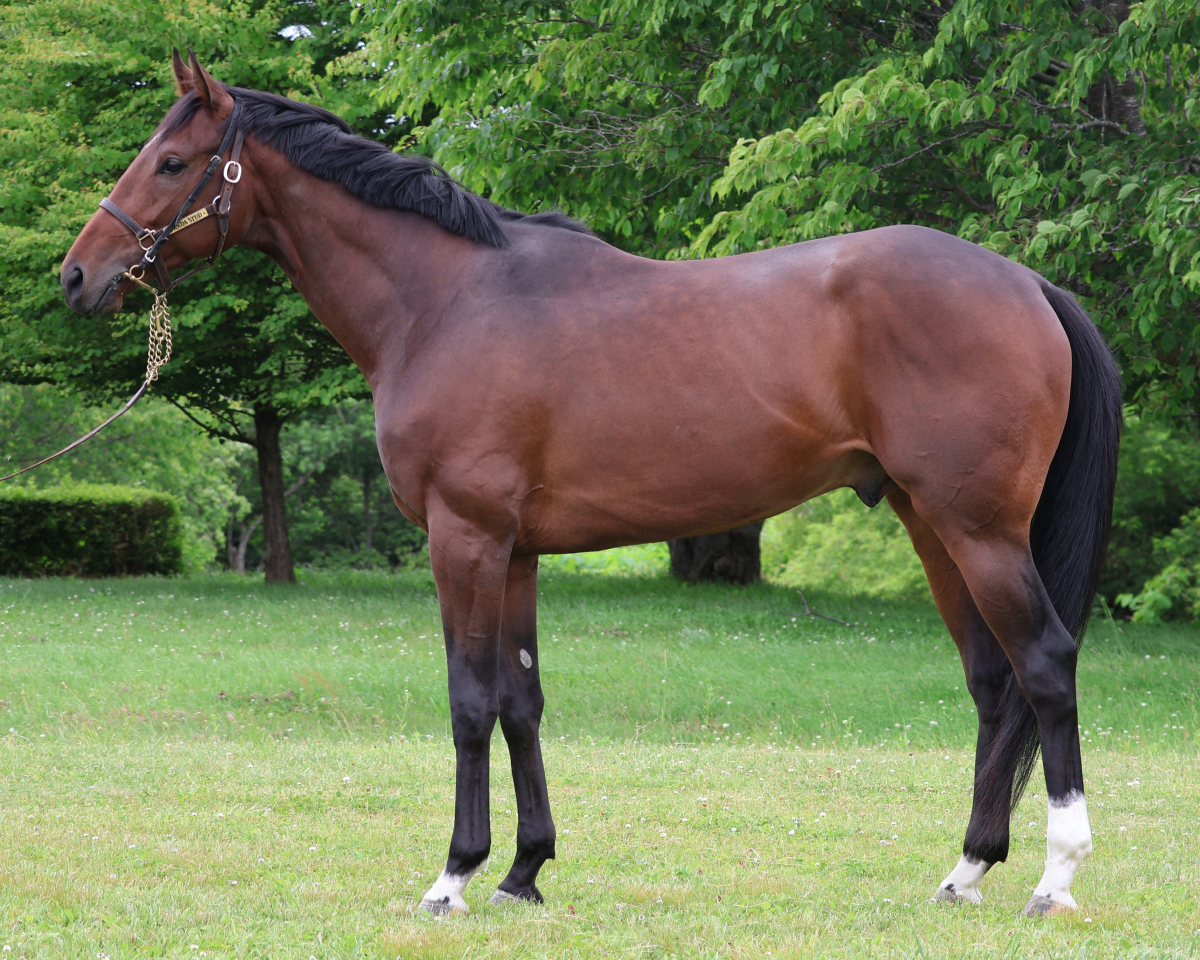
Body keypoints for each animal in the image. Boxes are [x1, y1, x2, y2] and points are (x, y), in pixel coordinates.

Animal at [61, 52, 1121, 918]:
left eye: (170, 163)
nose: (77, 276)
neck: (445, 302)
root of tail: (1028, 283)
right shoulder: (517, 551)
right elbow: (522, 702)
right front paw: (525, 871)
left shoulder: (465, 537)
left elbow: (469, 701)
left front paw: (453, 876)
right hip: (929, 522)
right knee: (992, 682)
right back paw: (966, 870)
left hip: (977, 528)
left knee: (1044, 665)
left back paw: (1054, 876)